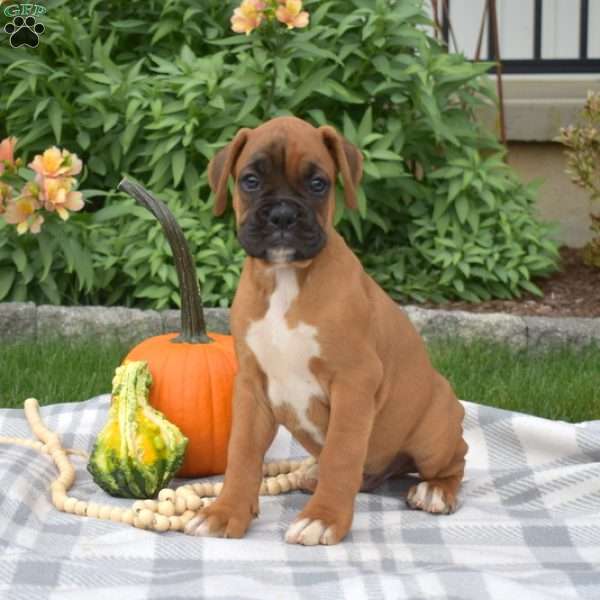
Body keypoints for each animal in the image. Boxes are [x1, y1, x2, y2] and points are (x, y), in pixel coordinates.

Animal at [185, 115, 466, 548]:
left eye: (318, 183)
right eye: (250, 180)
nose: (283, 215)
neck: (286, 279)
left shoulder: (354, 383)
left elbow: (342, 454)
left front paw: (323, 518)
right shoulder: (251, 386)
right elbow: (241, 453)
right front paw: (225, 511)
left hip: (434, 432)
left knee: (455, 459)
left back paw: (435, 490)